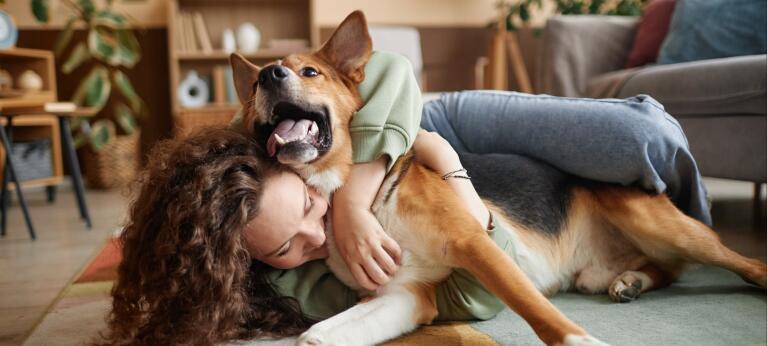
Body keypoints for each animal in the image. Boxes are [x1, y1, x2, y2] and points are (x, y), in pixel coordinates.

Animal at [230, 10, 767, 346]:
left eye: (310, 71)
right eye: (256, 85)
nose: (270, 75)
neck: (359, 198)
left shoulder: (475, 243)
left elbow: (539, 313)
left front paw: (582, 340)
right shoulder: (403, 294)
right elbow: (318, 333)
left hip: (661, 223)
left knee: (737, 261)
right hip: (603, 268)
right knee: (663, 270)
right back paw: (631, 280)